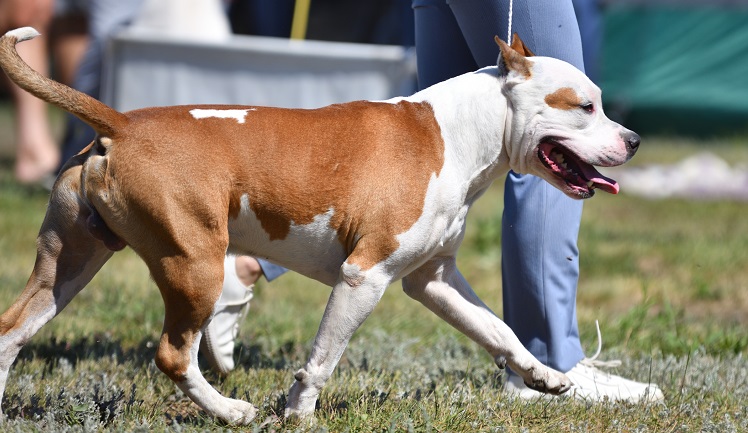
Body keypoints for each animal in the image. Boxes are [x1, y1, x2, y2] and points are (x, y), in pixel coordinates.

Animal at [1, 27, 636, 422]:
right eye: (585, 106)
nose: (632, 139)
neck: (461, 132)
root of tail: (123, 124)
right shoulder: (364, 275)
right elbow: (323, 358)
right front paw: (299, 412)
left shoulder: (431, 279)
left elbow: (497, 330)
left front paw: (545, 377)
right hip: (194, 264)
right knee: (174, 355)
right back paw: (231, 411)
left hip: (67, 265)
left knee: (11, 332)